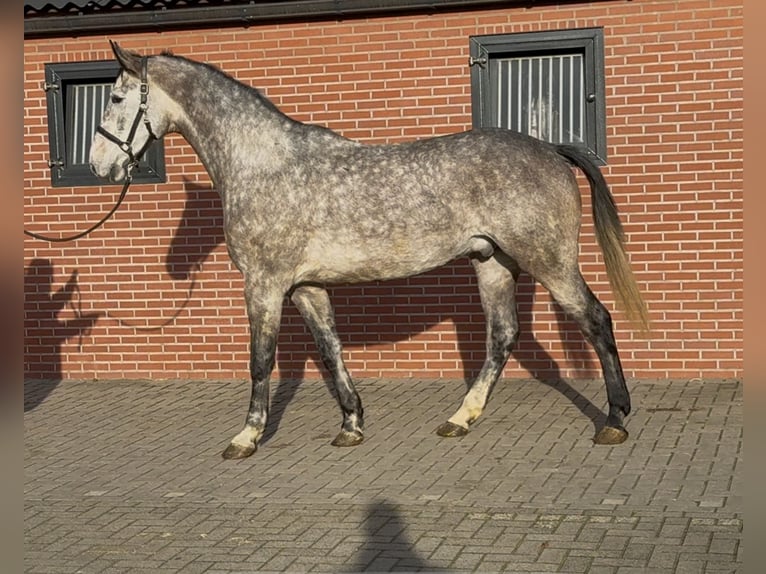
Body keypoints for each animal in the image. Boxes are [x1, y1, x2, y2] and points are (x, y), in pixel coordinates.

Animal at [89, 41, 649, 459]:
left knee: (596, 319)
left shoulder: (265, 284)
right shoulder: (306, 286)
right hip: (492, 262)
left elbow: (260, 359)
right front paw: (351, 424)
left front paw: (246, 437)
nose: (99, 166)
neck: (264, 164)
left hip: (549, 262)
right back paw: (459, 419)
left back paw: (615, 420)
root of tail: (550, 148)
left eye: (115, 98)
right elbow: (329, 350)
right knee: (502, 338)